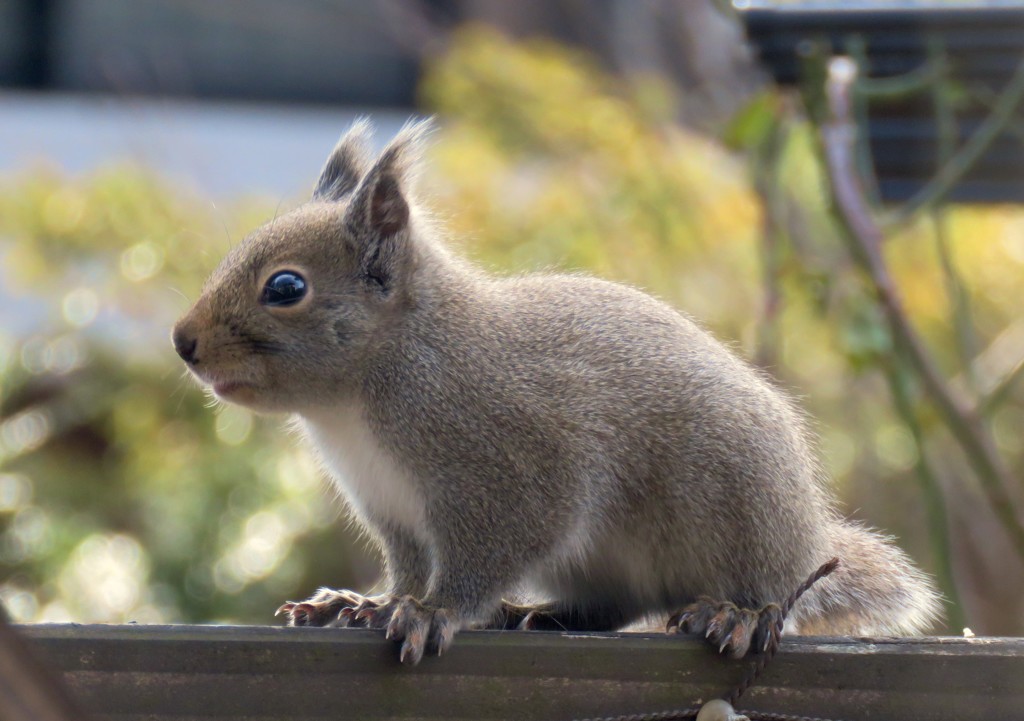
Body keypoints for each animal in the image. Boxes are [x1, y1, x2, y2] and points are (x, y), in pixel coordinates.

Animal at [172, 118, 937, 663]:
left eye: (285, 287)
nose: (183, 341)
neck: (362, 396)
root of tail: (807, 536)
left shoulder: (515, 474)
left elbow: (490, 555)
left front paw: (435, 613)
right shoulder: (395, 509)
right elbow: (409, 568)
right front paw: (368, 602)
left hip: (746, 515)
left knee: (768, 595)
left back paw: (737, 614)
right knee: (616, 607)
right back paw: (535, 612)